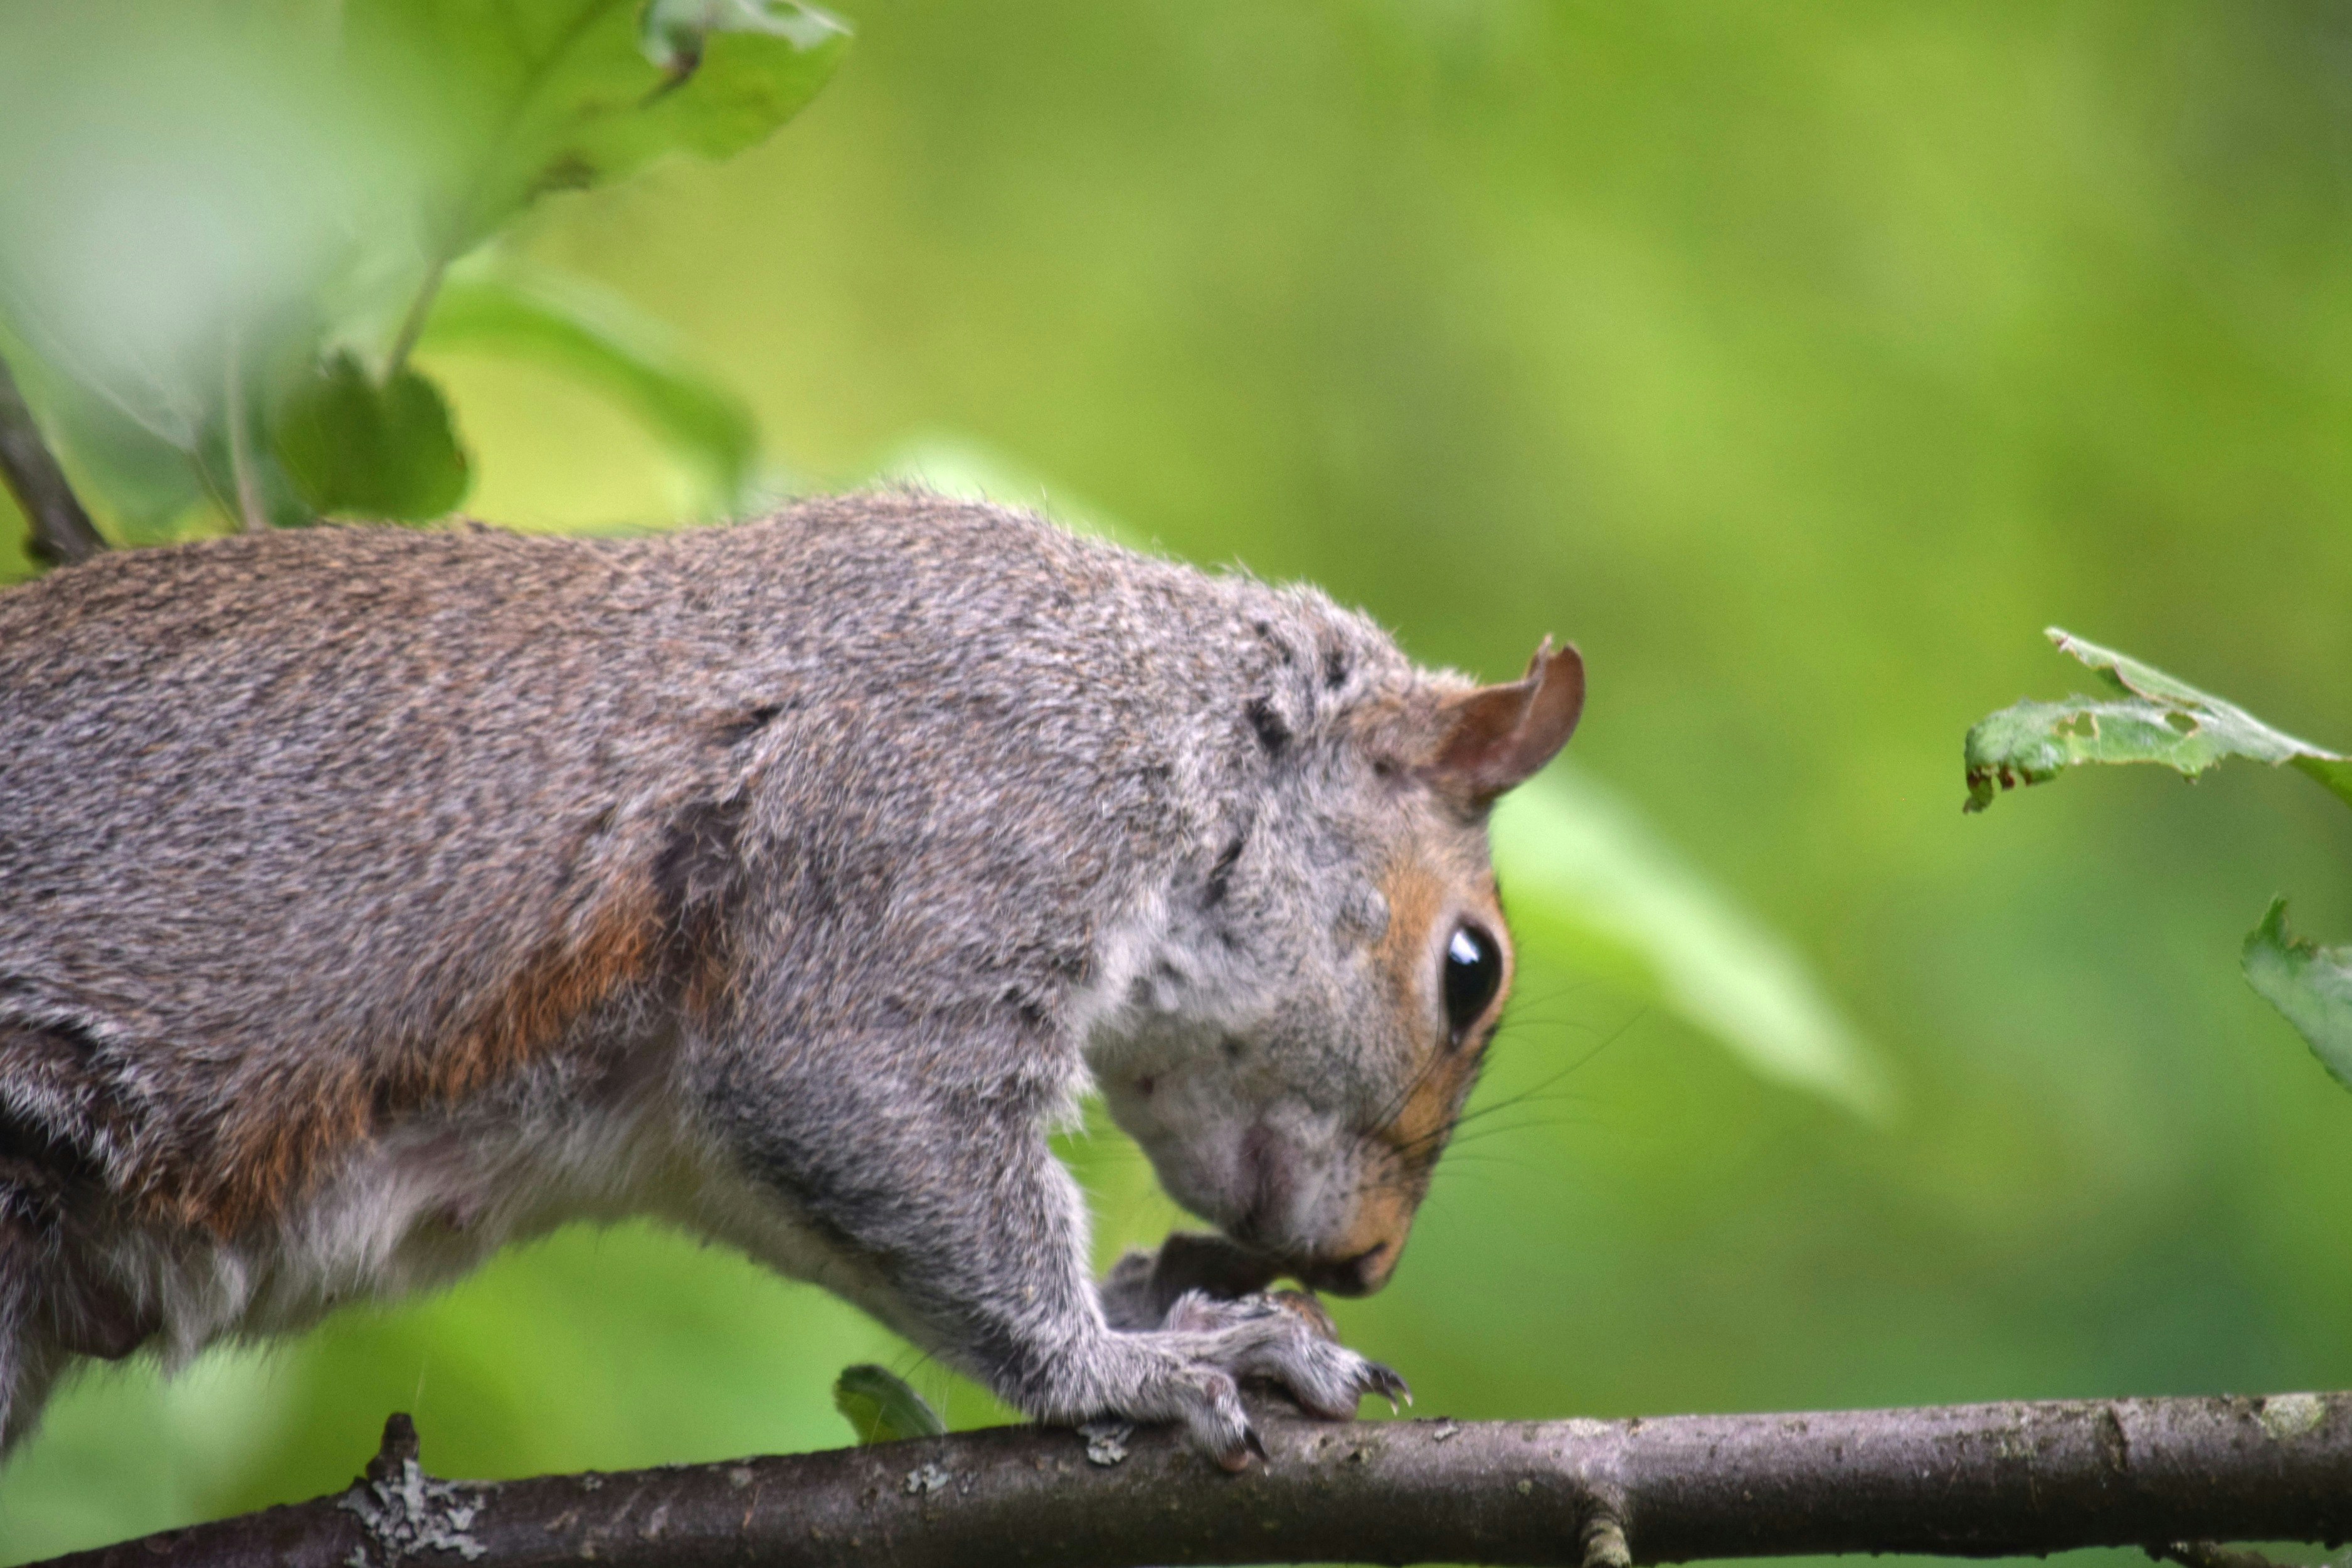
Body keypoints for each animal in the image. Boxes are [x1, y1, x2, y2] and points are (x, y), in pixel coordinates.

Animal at [0, 491, 1583, 1466]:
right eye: (1470, 968)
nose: (1367, 1263)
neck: (1169, 710)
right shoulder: (941, 821)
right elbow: (862, 1109)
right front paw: (1144, 1365)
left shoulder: (686, 1142)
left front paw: (1163, 1308)